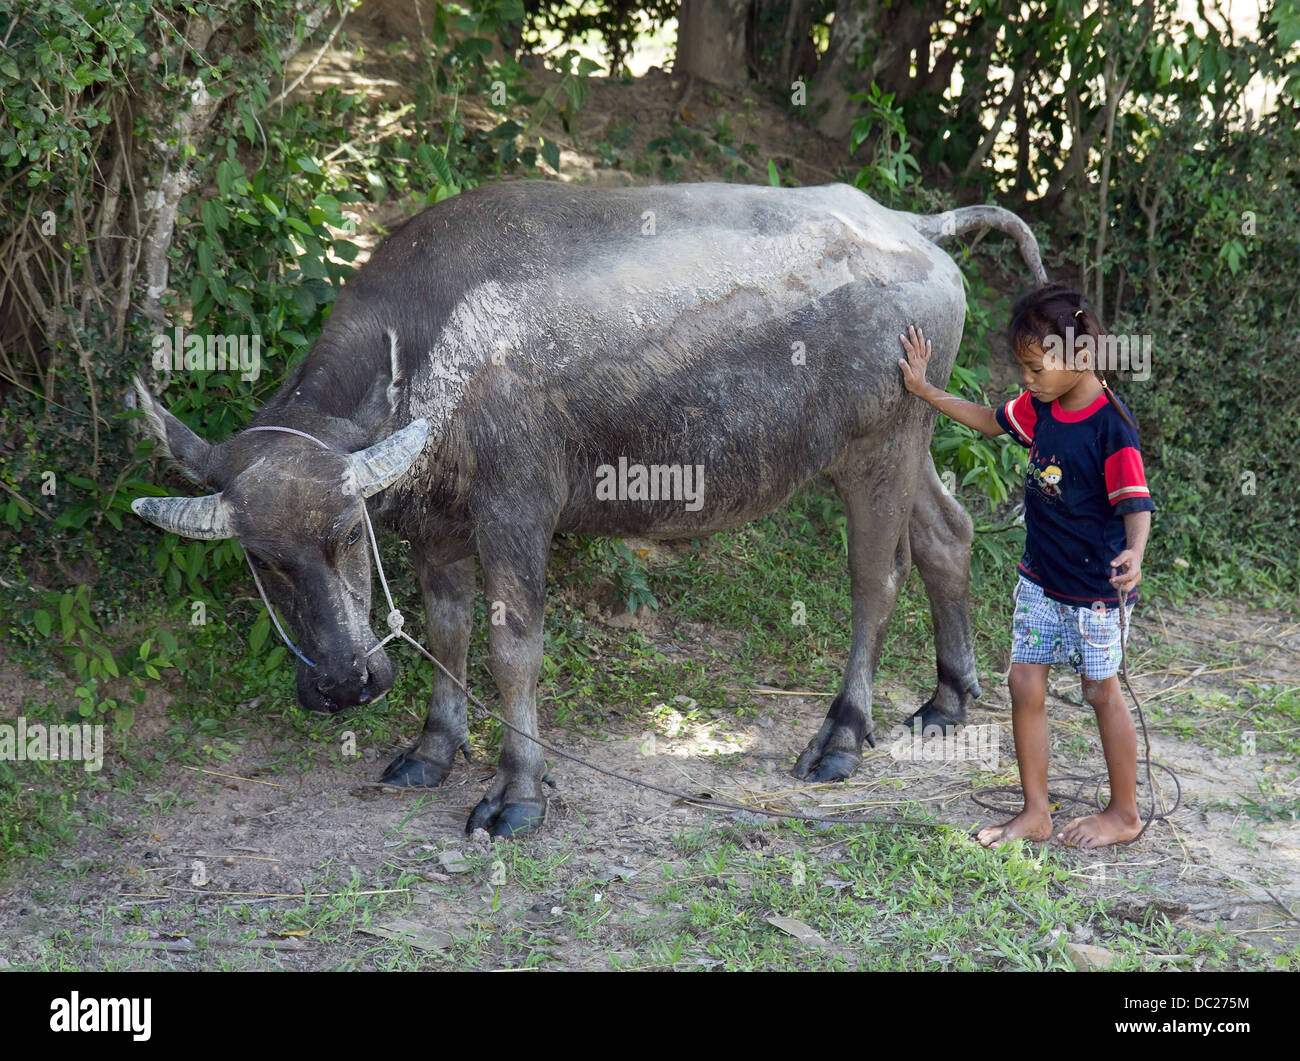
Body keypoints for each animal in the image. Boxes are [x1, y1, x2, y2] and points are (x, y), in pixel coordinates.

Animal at [132, 180, 1046, 837]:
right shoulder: (438, 532)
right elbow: (447, 633)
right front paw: (432, 749)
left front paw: (518, 792)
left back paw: (842, 734)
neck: (433, 354)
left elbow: (513, 652)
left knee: (874, 580)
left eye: (348, 535)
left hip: (877, 449)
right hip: (910, 438)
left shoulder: (515, 515)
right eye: (263, 560)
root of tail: (911, 227)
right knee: (949, 534)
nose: (344, 683)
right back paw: (948, 697)